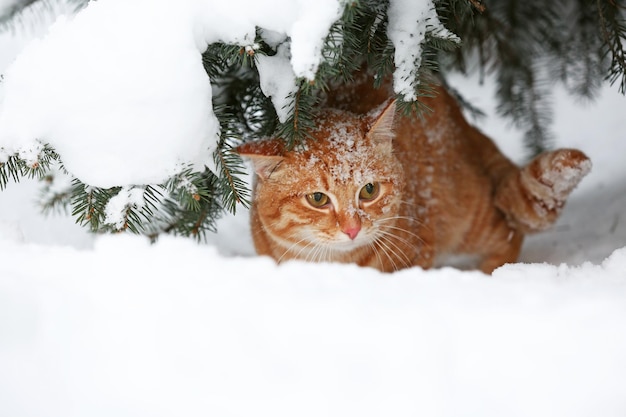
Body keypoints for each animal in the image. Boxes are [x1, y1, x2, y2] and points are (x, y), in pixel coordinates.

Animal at [235, 71, 588, 272]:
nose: (352, 229)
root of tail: (461, 122)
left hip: (467, 218)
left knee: (509, 235)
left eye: (369, 191)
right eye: (318, 199)